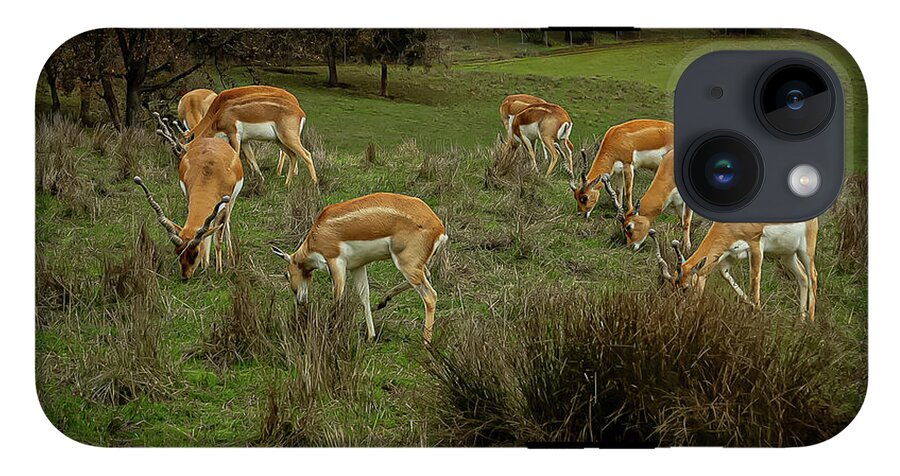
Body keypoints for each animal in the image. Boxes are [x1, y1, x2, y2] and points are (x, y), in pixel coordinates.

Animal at [135, 116, 243, 280]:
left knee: (226, 225)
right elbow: (206, 233)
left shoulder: (224, 205)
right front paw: (205, 265)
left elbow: (218, 238)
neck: (209, 173)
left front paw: (218, 271)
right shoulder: (189, 197)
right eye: (178, 251)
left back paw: (230, 257)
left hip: (231, 202)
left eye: (195, 252)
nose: (185, 276)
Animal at [179, 85, 316, 186]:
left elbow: (236, 156)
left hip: (288, 138)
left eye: (185, 152)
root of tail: (300, 112)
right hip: (280, 140)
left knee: (306, 154)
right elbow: (252, 159)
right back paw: (287, 183)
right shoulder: (245, 141)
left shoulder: (234, 135)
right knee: (293, 155)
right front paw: (260, 179)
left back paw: (313, 184)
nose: (183, 172)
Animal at [271, 193, 448, 344]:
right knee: (427, 275)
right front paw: (371, 336)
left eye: (286, 274)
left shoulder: (335, 262)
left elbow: (338, 298)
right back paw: (383, 301)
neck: (318, 233)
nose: (300, 301)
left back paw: (426, 342)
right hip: (415, 265)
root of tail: (439, 227)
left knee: (430, 295)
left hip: (406, 264)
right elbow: (364, 296)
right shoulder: (357, 266)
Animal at [649, 218, 819, 321]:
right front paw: (752, 307)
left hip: (806, 251)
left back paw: (810, 321)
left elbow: (754, 280)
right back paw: (801, 320)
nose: (679, 312)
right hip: (786, 255)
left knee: (813, 276)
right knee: (803, 277)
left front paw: (757, 314)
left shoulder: (756, 247)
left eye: (685, 288)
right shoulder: (728, 256)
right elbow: (727, 278)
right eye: (672, 288)